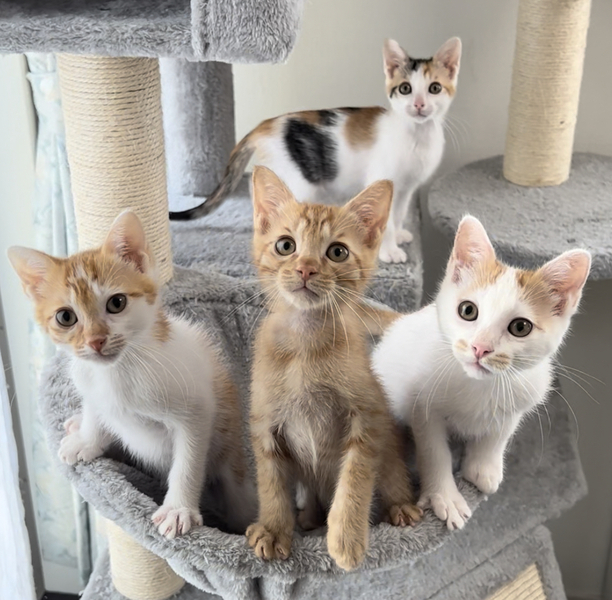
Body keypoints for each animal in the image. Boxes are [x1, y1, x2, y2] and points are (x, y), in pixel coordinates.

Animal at [8, 211, 253, 538]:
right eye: (65, 317)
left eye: (117, 303)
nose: (96, 341)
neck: (117, 372)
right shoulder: (90, 384)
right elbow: (95, 410)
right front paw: (87, 439)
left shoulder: (197, 409)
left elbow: (187, 461)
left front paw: (178, 509)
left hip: (231, 460)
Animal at [169, 37, 461, 265]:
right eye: (405, 89)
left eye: (434, 88)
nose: (419, 105)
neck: (417, 135)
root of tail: (264, 125)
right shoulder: (384, 178)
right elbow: (387, 220)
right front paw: (390, 251)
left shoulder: (407, 187)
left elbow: (399, 214)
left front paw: (400, 234)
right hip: (296, 179)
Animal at [245, 166, 421, 572]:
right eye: (285, 245)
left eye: (337, 252)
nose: (306, 269)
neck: (305, 346)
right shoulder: (265, 423)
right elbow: (270, 483)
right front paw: (274, 529)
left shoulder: (368, 415)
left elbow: (355, 476)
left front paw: (346, 537)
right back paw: (309, 517)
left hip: (391, 450)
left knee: (392, 474)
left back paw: (401, 507)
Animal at [372, 216, 591, 530]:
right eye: (467, 310)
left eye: (520, 327)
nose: (480, 348)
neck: (479, 386)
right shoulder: (422, 403)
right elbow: (433, 450)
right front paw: (445, 496)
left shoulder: (521, 398)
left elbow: (500, 433)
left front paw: (483, 468)